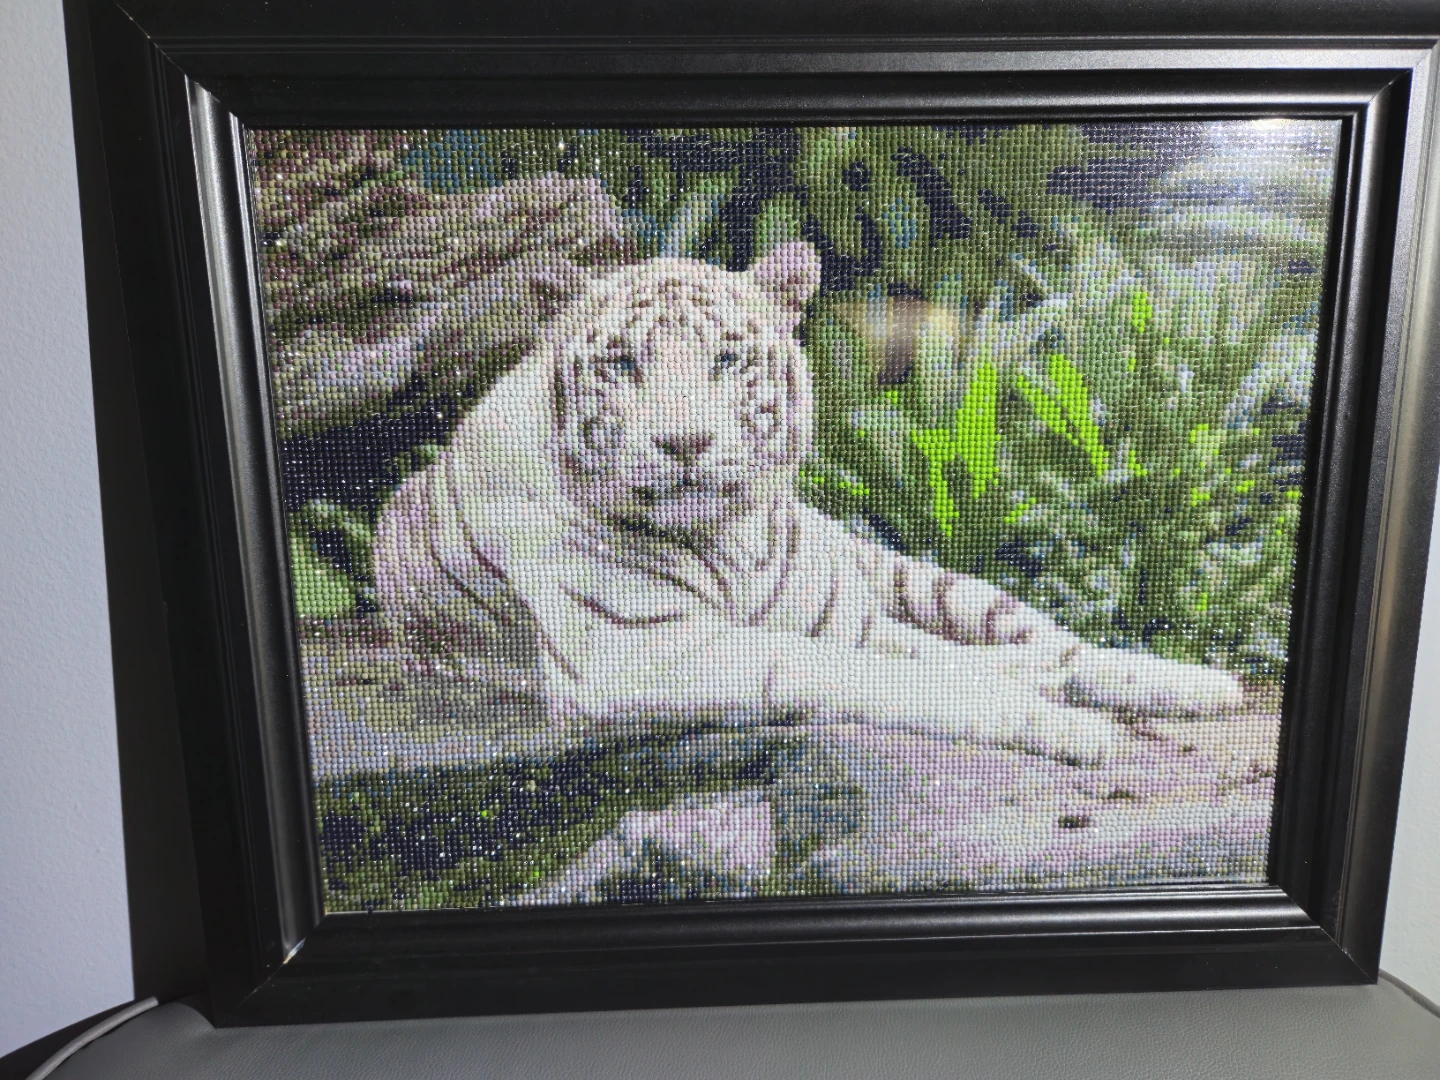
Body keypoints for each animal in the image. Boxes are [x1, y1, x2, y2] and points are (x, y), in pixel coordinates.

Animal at [374, 241, 1244, 766]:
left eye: (726, 360)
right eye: (622, 365)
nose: (684, 443)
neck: (731, 539)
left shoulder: (844, 620)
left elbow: (926, 659)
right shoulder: (640, 650)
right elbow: (881, 676)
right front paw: (1067, 726)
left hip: (908, 574)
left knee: (1046, 638)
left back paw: (1200, 684)